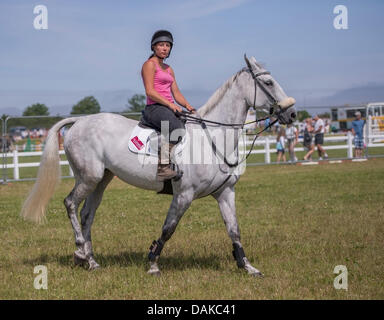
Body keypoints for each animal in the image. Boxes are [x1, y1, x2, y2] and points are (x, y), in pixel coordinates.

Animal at [21, 56, 296, 276]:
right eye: (268, 83)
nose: (292, 114)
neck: (212, 138)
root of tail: (80, 121)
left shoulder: (225, 193)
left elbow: (235, 231)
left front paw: (247, 266)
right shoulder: (184, 195)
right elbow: (168, 229)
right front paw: (153, 263)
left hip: (101, 180)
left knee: (87, 214)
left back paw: (90, 260)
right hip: (88, 177)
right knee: (70, 204)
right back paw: (80, 250)